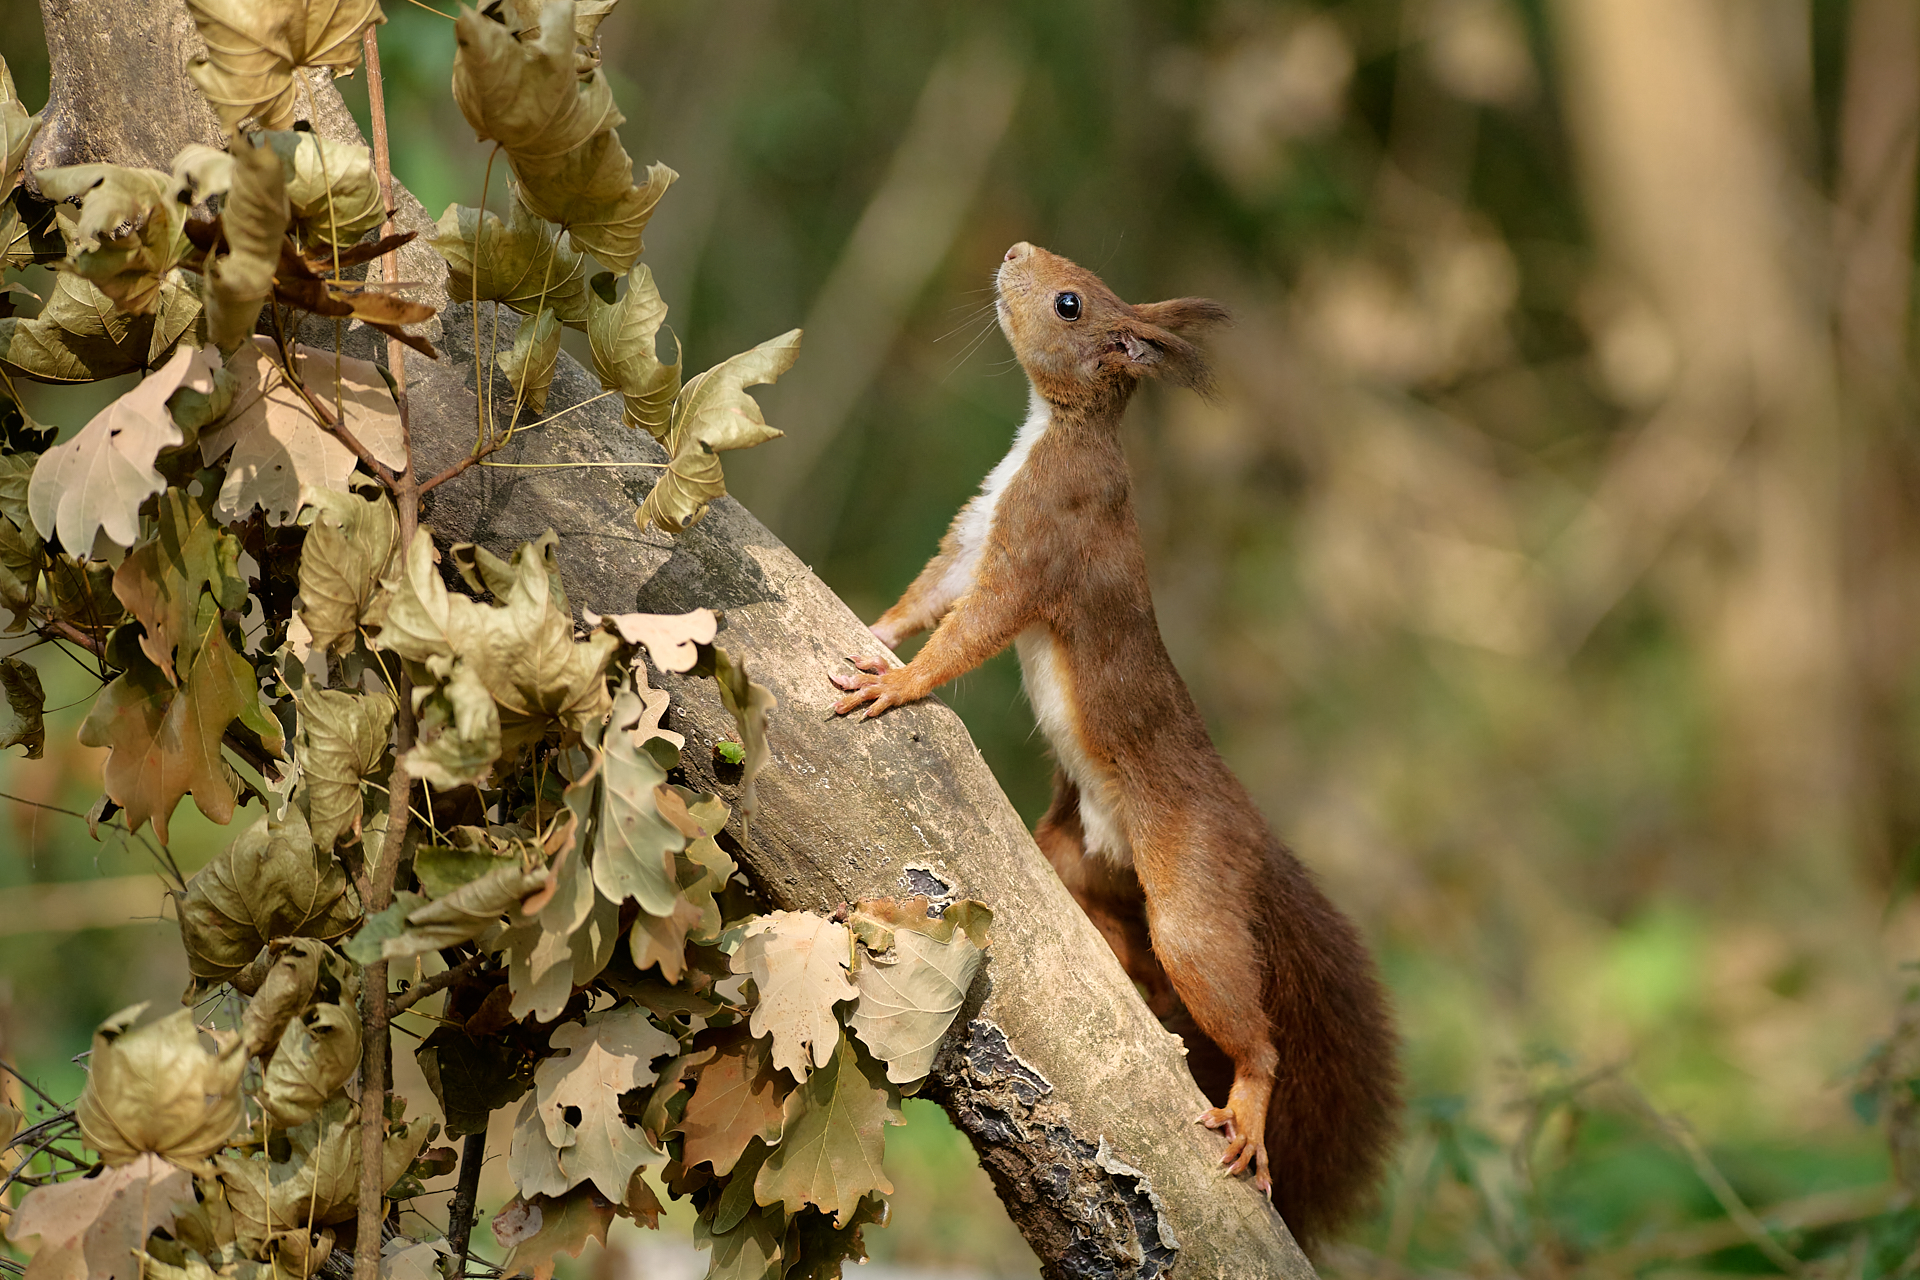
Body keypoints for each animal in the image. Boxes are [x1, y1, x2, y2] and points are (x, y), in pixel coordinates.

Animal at [827, 242, 1400, 1247]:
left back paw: (1248, 1101)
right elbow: (934, 590)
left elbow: (975, 626)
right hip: (1078, 858)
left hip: (1192, 894)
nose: (1014, 251)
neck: (1052, 432)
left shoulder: (1045, 535)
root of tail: (1253, 836)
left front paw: (901, 683)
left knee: (1241, 1018)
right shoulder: (980, 530)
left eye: (1069, 302)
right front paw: (876, 628)